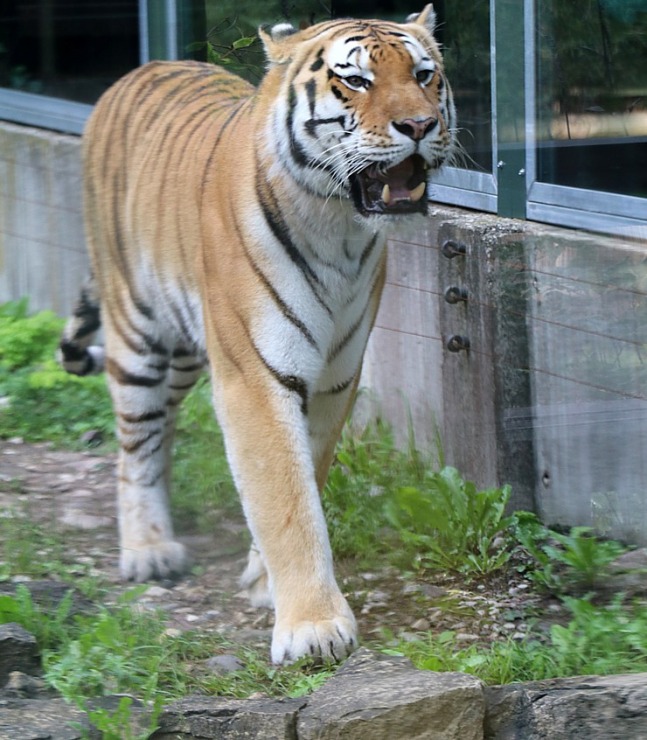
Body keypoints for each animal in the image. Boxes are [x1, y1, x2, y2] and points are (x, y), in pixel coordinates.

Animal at [59, 4, 456, 664]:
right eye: (356, 80)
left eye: (424, 74)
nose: (420, 126)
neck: (338, 225)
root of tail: (139, 69)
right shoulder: (256, 377)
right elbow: (286, 499)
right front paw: (313, 628)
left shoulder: (334, 378)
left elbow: (306, 477)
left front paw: (266, 580)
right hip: (138, 332)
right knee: (134, 443)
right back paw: (148, 549)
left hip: (188, 353)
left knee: (163, 427)